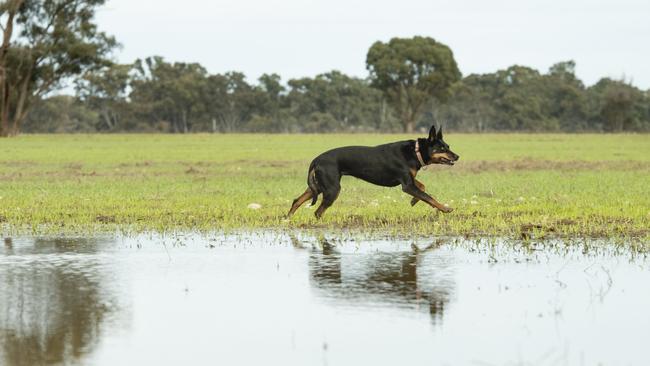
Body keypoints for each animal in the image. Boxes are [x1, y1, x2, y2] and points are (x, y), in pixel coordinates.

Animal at [286, 124, 458, 219]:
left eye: (448, 146)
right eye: (442, 148)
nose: (457, 156)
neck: (415, 151)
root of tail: (316, 160)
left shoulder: (409, 180)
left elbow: (422, 188)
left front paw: (413, 201)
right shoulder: (407, 185)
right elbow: (428, 197)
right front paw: (445, 208)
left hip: (318, 186)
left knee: (297, 201)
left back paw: (287, 219)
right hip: (332, 189)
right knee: (318, 212)